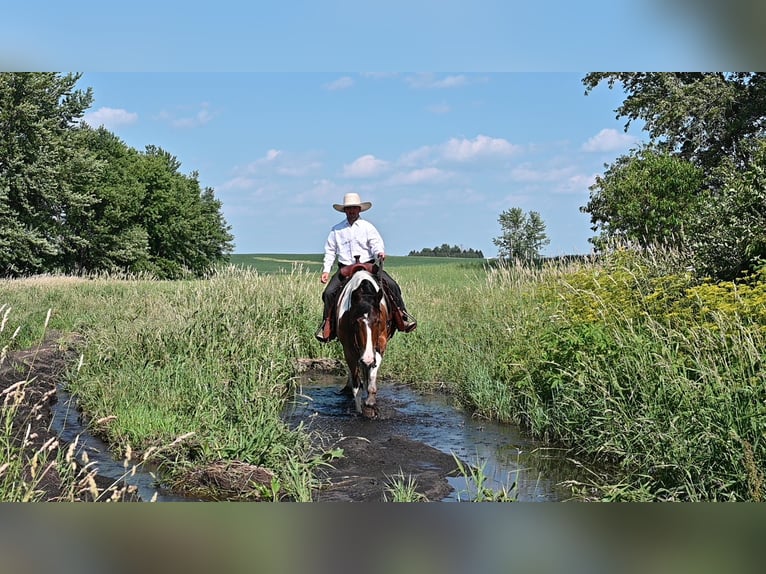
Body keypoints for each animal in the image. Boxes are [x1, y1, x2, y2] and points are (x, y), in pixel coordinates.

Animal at [338, 268, 396, 416]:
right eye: (356, 322)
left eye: (378, 321)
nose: (367, 359)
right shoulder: (348, 349)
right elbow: (356, 384)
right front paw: (359, 410)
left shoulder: (381, 343)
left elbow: (373, 370)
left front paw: (370, 399)